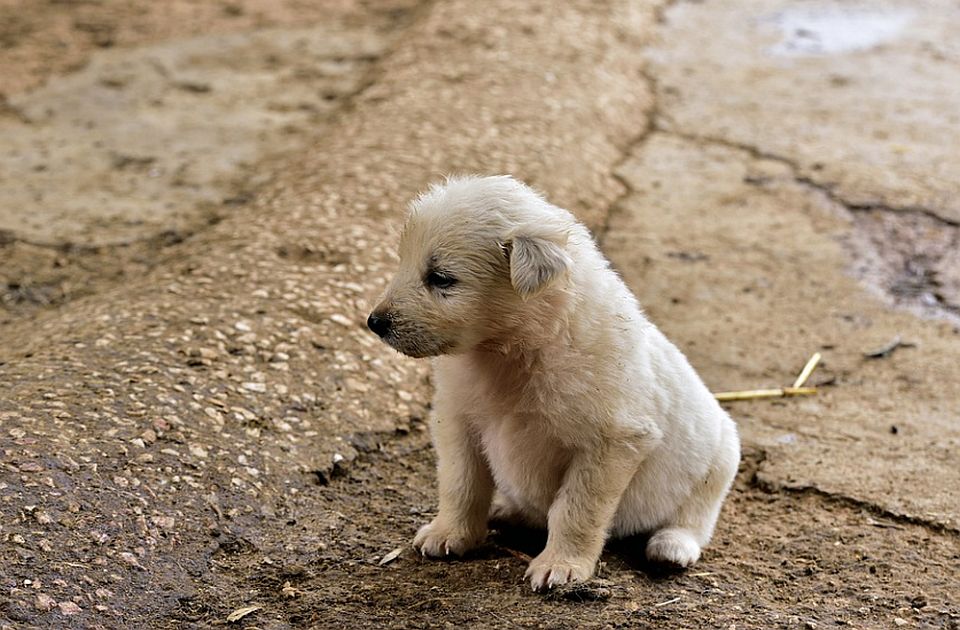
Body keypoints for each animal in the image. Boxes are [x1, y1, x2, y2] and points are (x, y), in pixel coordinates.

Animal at [370, 174, 744, 592]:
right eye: (403, 262)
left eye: (441, 278)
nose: (375, 323)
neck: (514, 350)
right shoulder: (457, 419)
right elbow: (460, 483)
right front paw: (449, 534)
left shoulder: (612, 442)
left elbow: (576, 509)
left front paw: (561, 566)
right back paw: (506, 510)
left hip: (720, 461)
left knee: (695, 518)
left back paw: (671, 547)